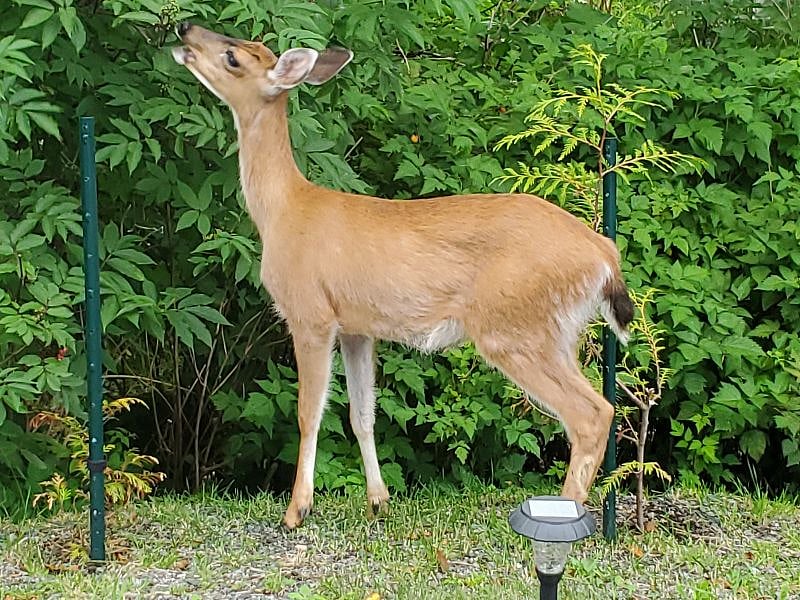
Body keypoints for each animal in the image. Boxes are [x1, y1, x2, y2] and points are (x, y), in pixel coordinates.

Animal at [171, 22, 634, 530]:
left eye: (233, 57)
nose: (185, 30)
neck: (283, 210)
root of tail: (604, 253)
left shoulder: (310, 313)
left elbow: (309, 412)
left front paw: (297, 509)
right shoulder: (356, 327)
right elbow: (362, 412)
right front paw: (379, 501)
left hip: (514, 327)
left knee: (591, 413)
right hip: (559, 333)